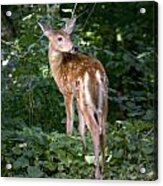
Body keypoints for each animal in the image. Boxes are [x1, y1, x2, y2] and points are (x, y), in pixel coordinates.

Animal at [38, 17, 108, 179]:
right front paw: (82, 154)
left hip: (84, 98)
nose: (74, 47)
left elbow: (70, 121)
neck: (58, 68)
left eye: (69, 36)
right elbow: (81, 127)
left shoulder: (67, 92)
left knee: (95, 128)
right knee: (103, 128)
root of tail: (96, 73)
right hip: (102, 99)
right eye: (60, 38)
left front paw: (67, 146)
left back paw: (97, 172)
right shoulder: (76, 96)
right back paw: (104, 168)